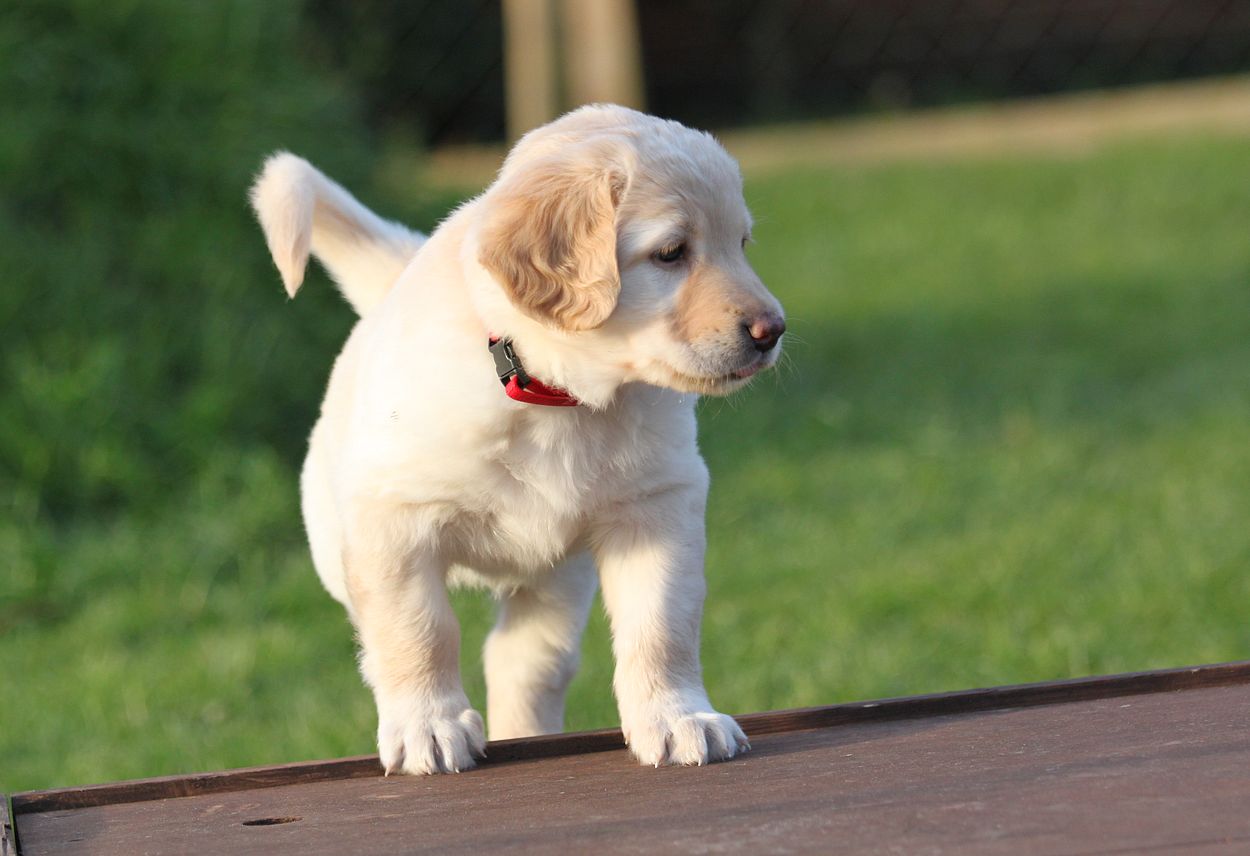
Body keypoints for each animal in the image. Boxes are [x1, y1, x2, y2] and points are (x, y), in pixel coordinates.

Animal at [249, 104, 785, 775]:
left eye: (741, 245)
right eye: (670, 253)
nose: (773, 331)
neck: (552, 393)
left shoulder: (658, 506)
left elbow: (662, 624)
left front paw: (678, 718)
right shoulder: (392, 519)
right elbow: (417, 629)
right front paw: (427, 726)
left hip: (557, 581)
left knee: (526, 662)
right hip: (332, 541)